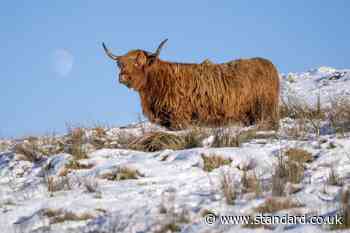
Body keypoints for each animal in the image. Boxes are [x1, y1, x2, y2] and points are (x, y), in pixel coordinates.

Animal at [101, 38, 278, 129]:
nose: (123, 77)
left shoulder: (180, 117)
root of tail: (268, 64)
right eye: (121, 64)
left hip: (263, 110)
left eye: (138, 62)